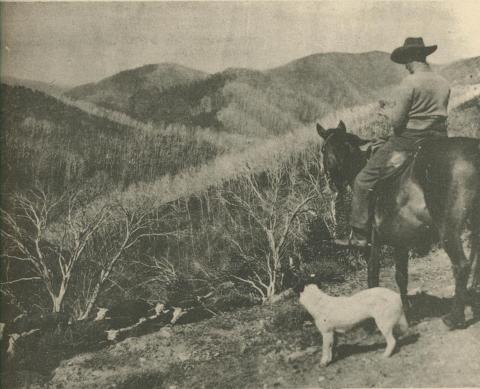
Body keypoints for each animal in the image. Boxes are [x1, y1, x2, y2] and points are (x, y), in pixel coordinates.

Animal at [316, 120, 478, 328]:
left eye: (323, 149)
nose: (334, 183)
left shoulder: (373, 245)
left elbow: (373, 276)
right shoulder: (401, 242)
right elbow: (401, 277)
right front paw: (407, 312)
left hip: (448, 229)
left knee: (461, 265)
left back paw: (455, 318)